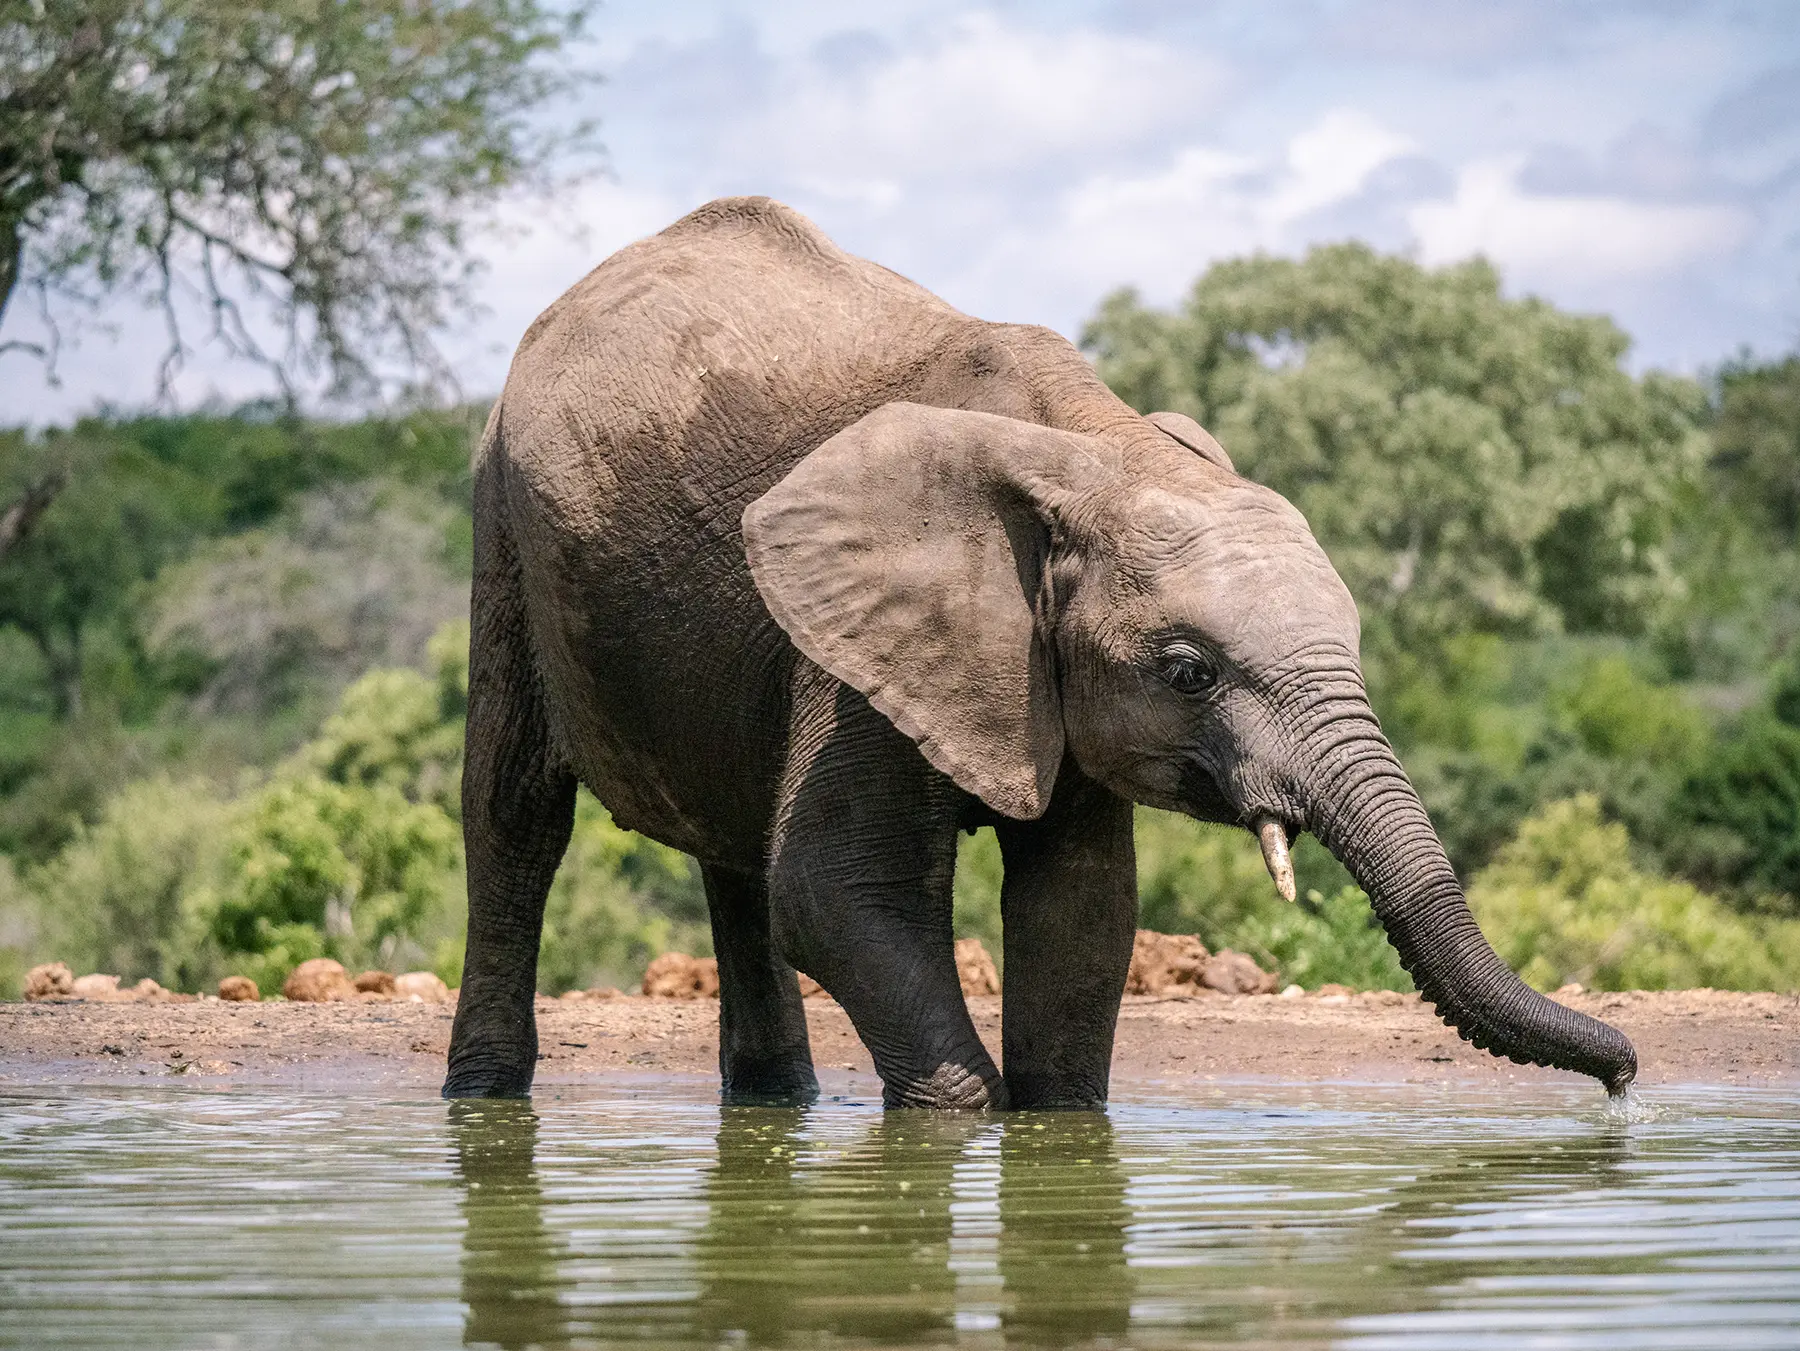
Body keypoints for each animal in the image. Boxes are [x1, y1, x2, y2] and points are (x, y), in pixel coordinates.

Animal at [443, 195, 1637, 1109]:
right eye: (1190, 671)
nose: (1626, 1075)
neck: (1090, 446)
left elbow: (1081, 914)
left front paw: (1059, 1128)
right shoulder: (862, 648)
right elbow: (839, 891)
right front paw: (960, 1119)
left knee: (728, 852)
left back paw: (778, 1105)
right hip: (500, 522)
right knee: (515, 818)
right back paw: (484, 1099)